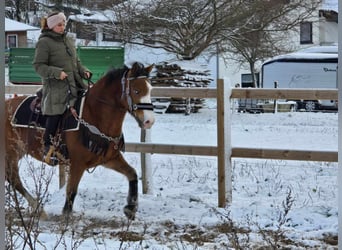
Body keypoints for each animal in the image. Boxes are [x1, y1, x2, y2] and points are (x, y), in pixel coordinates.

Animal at [5, 61, 155, 220]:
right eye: (136, 90)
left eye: (150, 89)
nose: (149, 121)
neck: (94, 116)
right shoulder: (78, 163)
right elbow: (71, 191)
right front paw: (66, 217)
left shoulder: (109, 158)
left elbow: (132, 174)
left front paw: (130, 208)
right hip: (11, 152)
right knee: (14, 179)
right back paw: (38, 209)